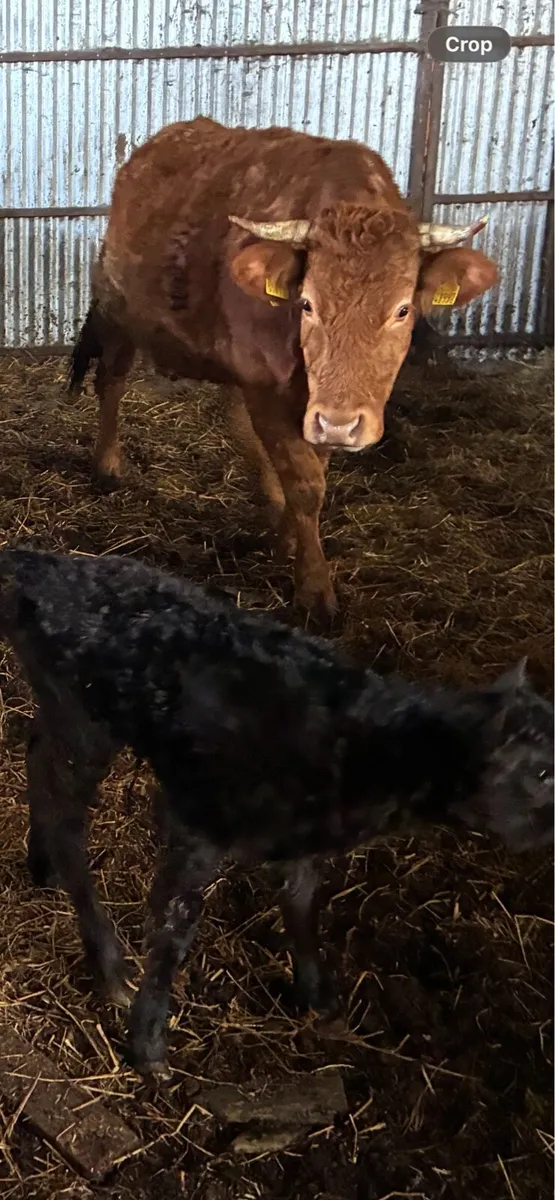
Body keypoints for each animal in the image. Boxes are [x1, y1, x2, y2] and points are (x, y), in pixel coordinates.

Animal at [68, 118, 499, 621]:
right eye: (307, 303)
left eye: (403, 309)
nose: (342, 425)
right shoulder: (266, 386)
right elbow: (305, 482)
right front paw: (314, 589)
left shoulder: (316, 407)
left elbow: (310, 471)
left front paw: (289, 538)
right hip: (119, 311)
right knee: (111, 382)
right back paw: (107, 466)